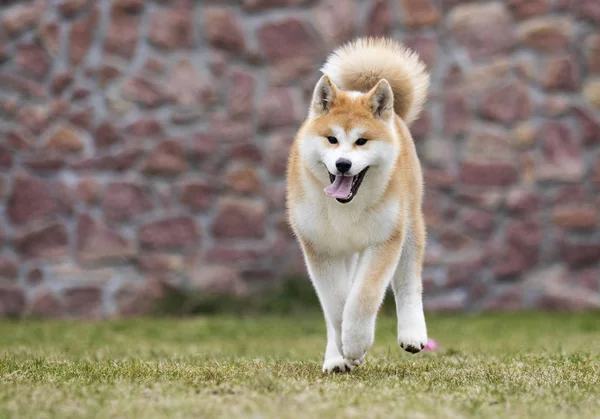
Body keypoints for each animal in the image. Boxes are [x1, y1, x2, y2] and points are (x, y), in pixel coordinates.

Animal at [286, 37, 432, 374]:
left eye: (362, 141)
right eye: (331, 139)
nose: (343, 164)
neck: (345, 209)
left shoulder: (384, 241)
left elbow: (362, 296)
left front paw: (354, 343)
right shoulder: (319, 248)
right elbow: (336, 305)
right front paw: (343, 350)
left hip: (409, 225)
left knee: (408, 284)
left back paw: (412, 333)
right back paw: (334, 358)